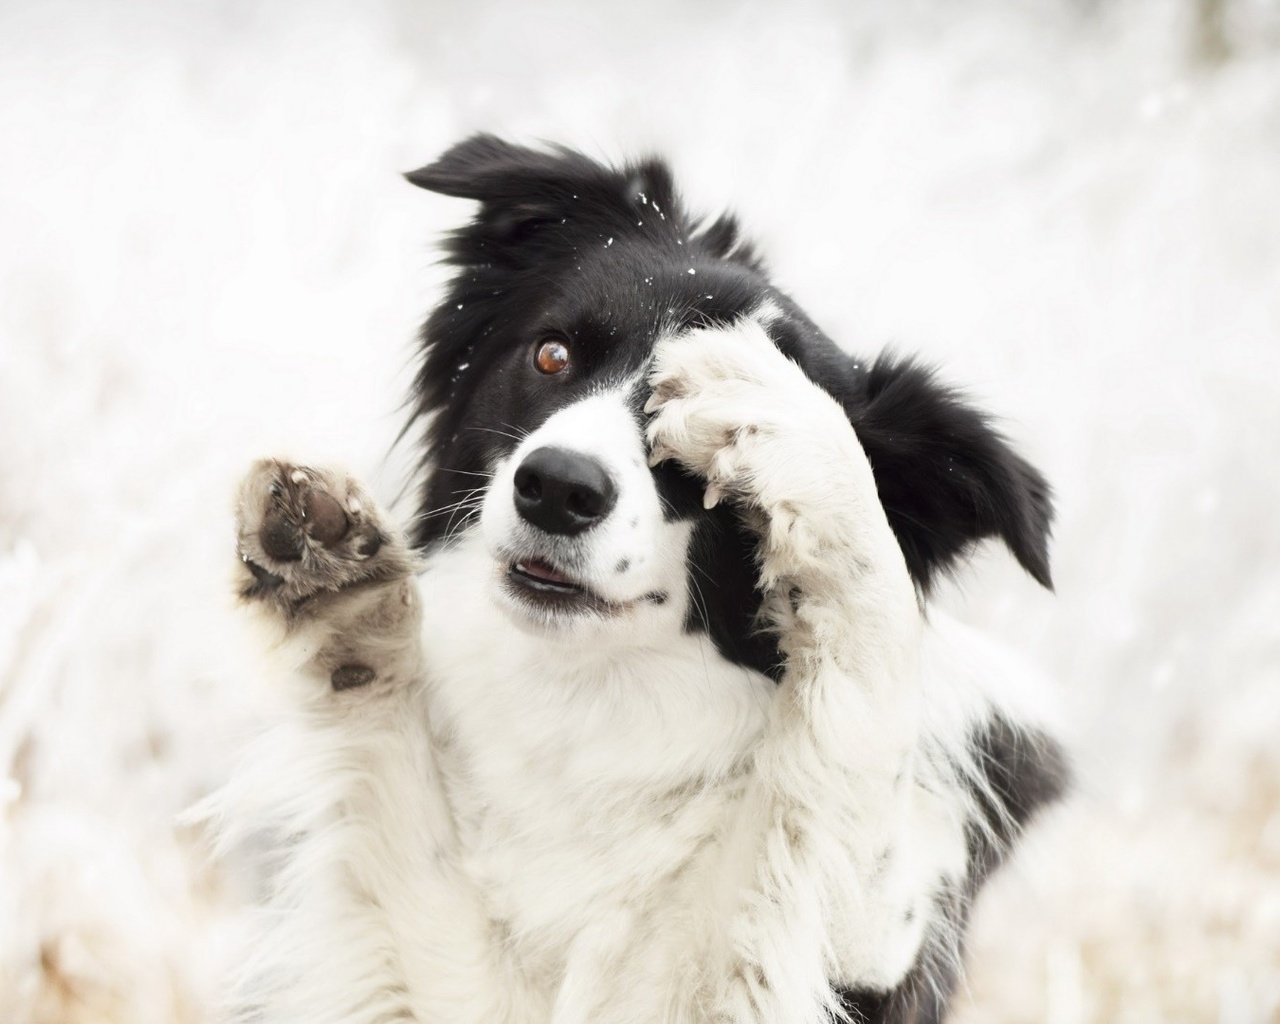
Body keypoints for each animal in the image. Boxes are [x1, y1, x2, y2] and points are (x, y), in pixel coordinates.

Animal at [222, 138, 1070, 1024]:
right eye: (553, 354)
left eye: (711, 462)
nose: (556, 487)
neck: (592, 701)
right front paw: (338, 585)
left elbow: (858, 726)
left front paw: (787, 415)